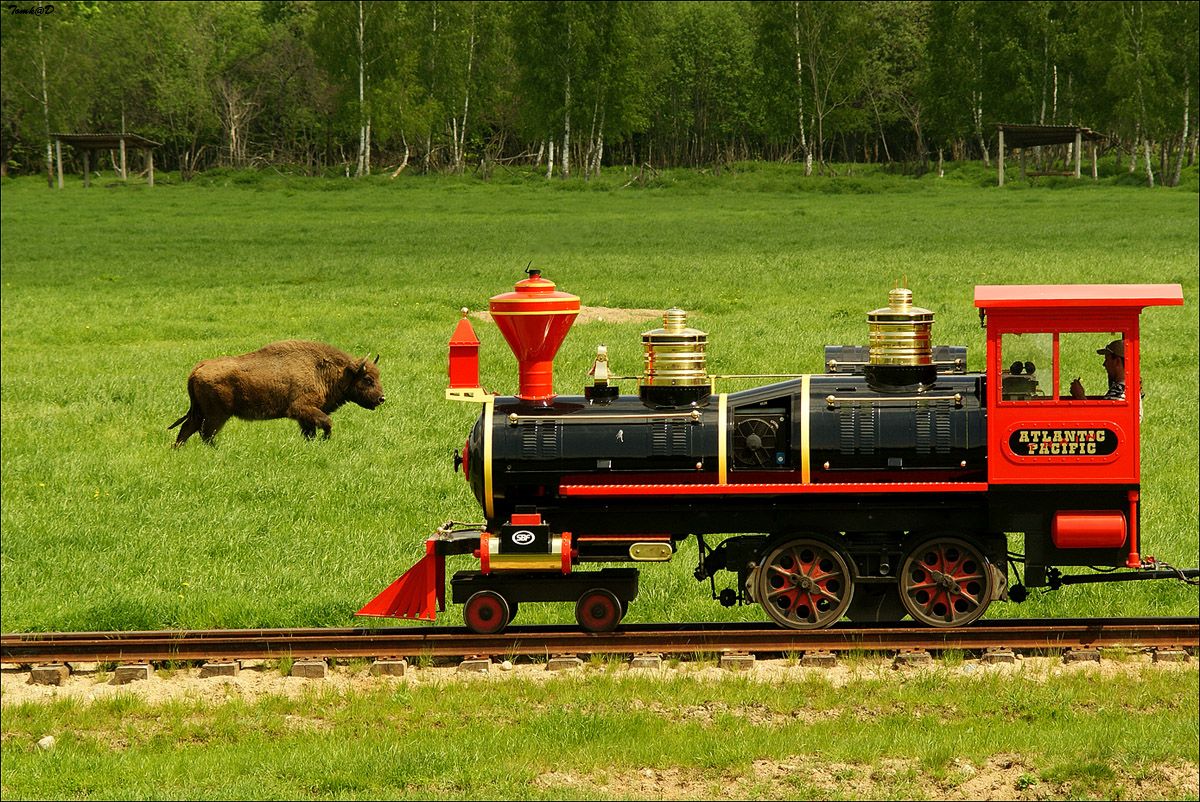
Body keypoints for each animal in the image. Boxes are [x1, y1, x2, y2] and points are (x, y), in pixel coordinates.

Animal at [169, 340, 381, 449]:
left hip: (201, 412)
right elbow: (327, 422)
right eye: (368, 379)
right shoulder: (302, 408)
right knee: (205, 433)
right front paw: (325, 440)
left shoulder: (304, 417)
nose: (382, 398)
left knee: (188, 429)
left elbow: (311, 431)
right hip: (217, 415)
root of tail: (198, 368)